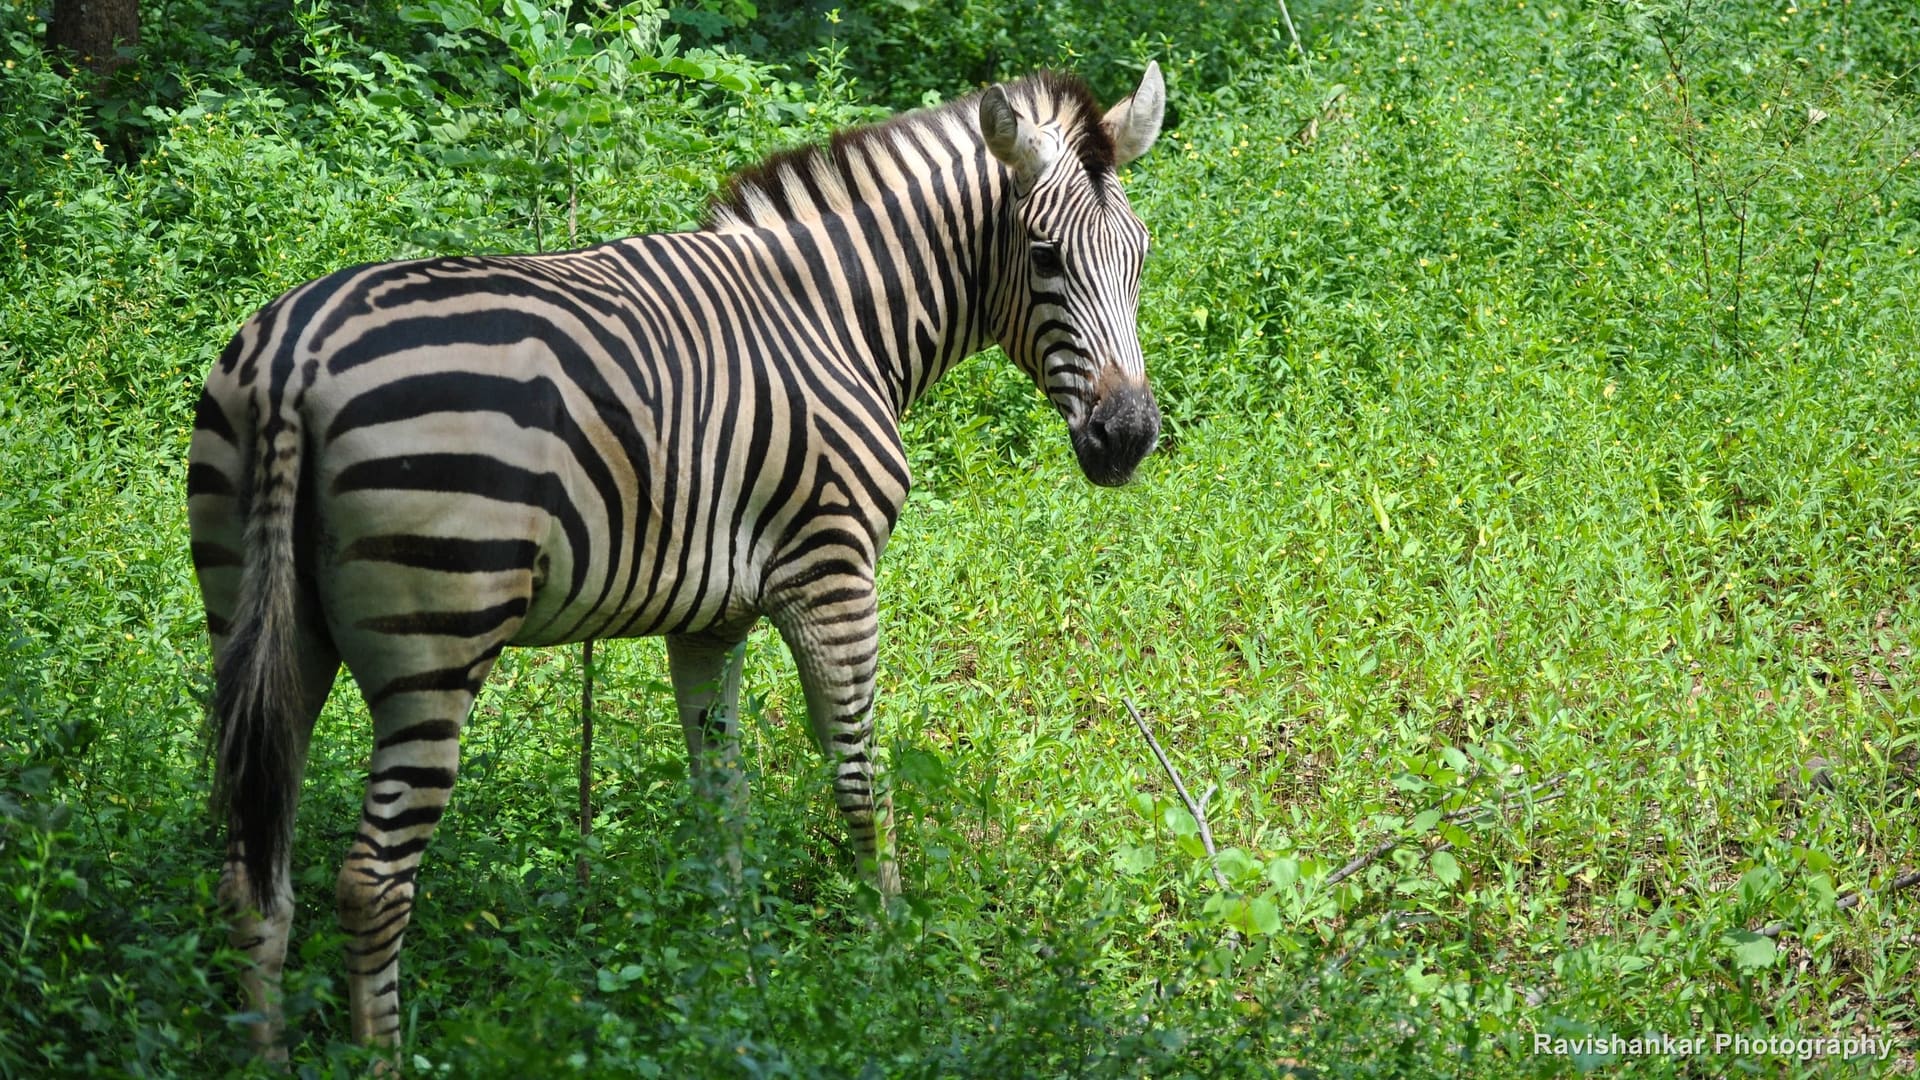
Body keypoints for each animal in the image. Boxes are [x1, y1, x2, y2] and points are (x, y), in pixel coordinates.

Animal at [189, 63, 1165, 1053]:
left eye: (1142, 256)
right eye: (1044, 257)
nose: (1128, 438)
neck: (834, 318)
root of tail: (296, 358)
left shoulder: (712, 618)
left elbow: (719, 800)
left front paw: (734, 980)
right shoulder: (832, 569)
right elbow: (860, 777)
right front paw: (888, 970)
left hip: (263, 624)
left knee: (251, 875)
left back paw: (266, 1056)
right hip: (438, 636)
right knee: (371, 884)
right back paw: (383, 1059)